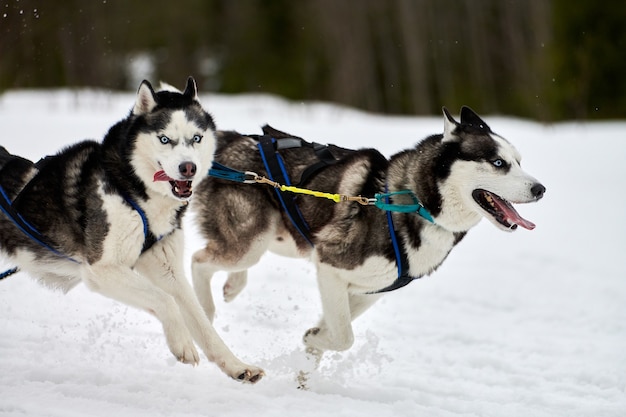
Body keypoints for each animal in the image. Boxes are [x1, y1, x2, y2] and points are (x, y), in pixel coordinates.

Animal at [0, 78, 262, 384]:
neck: (135, 191)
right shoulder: (102, 270)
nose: (188, 168)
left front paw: (236, 366)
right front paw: (182, 344)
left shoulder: (167, 270)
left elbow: (202, 324)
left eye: (196, 138)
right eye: (164, 139)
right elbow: (165, 301)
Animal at [191, 106, 544, 376]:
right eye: (498, 163)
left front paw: (307, 367)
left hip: (267, 239)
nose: (540, 189)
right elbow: (344, 337)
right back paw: (204, 310)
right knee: (199, 261)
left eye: (519, 161)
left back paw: (233, 286)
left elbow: (332, 328)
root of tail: (227, 140)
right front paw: (313, 343)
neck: (414, 203)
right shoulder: (330, 266)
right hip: (251, 242)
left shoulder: (367, 290)